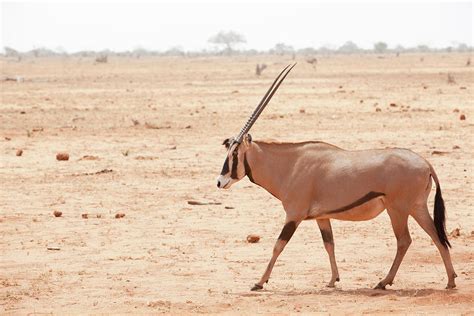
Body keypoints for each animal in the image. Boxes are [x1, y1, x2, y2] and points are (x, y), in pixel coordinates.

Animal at [217, 63, 458, 292]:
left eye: (235, 154)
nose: (220, 182)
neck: (290, 165)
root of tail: (426, 164)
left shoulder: (294, 215)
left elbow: (278, 245)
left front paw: (259, 282)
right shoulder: (322, 217)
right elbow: (329, 244)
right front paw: (333, 280)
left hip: (397, 209)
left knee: (404, 241)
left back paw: (384, 282)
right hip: (416, 207)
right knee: (437, 236)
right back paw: (450, 280)